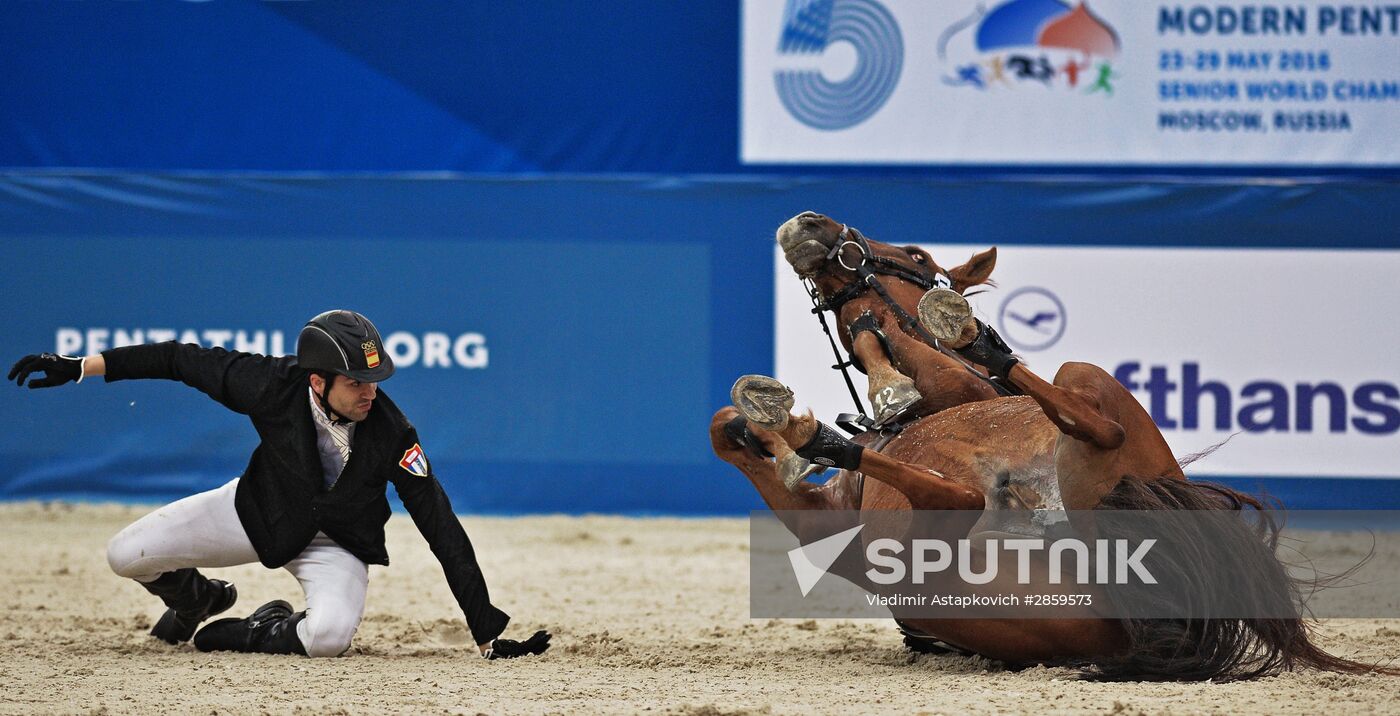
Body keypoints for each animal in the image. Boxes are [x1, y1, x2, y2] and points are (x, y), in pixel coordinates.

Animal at [711, 210, 1388, 680]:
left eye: (915, 252)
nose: (810, 222)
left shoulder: (944, 390)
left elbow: (881, 346)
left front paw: (880, 385)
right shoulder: (833, 522)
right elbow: (727, 430)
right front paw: (778, 425)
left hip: (1079, 389)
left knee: (1072, 431)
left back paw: (968, 341)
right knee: (966, 494)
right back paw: (818, 429)